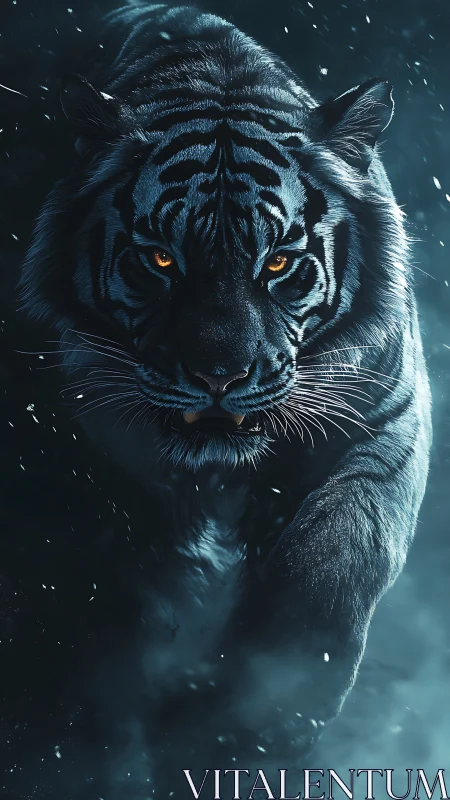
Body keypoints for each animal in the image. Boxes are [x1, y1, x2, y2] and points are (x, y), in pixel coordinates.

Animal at [19, 0, 432, 793]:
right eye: (159, 259)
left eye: (277, 262)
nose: (220, 376)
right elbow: (99, 612)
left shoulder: (384, 423)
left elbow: (336, 555)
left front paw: (266, 718)